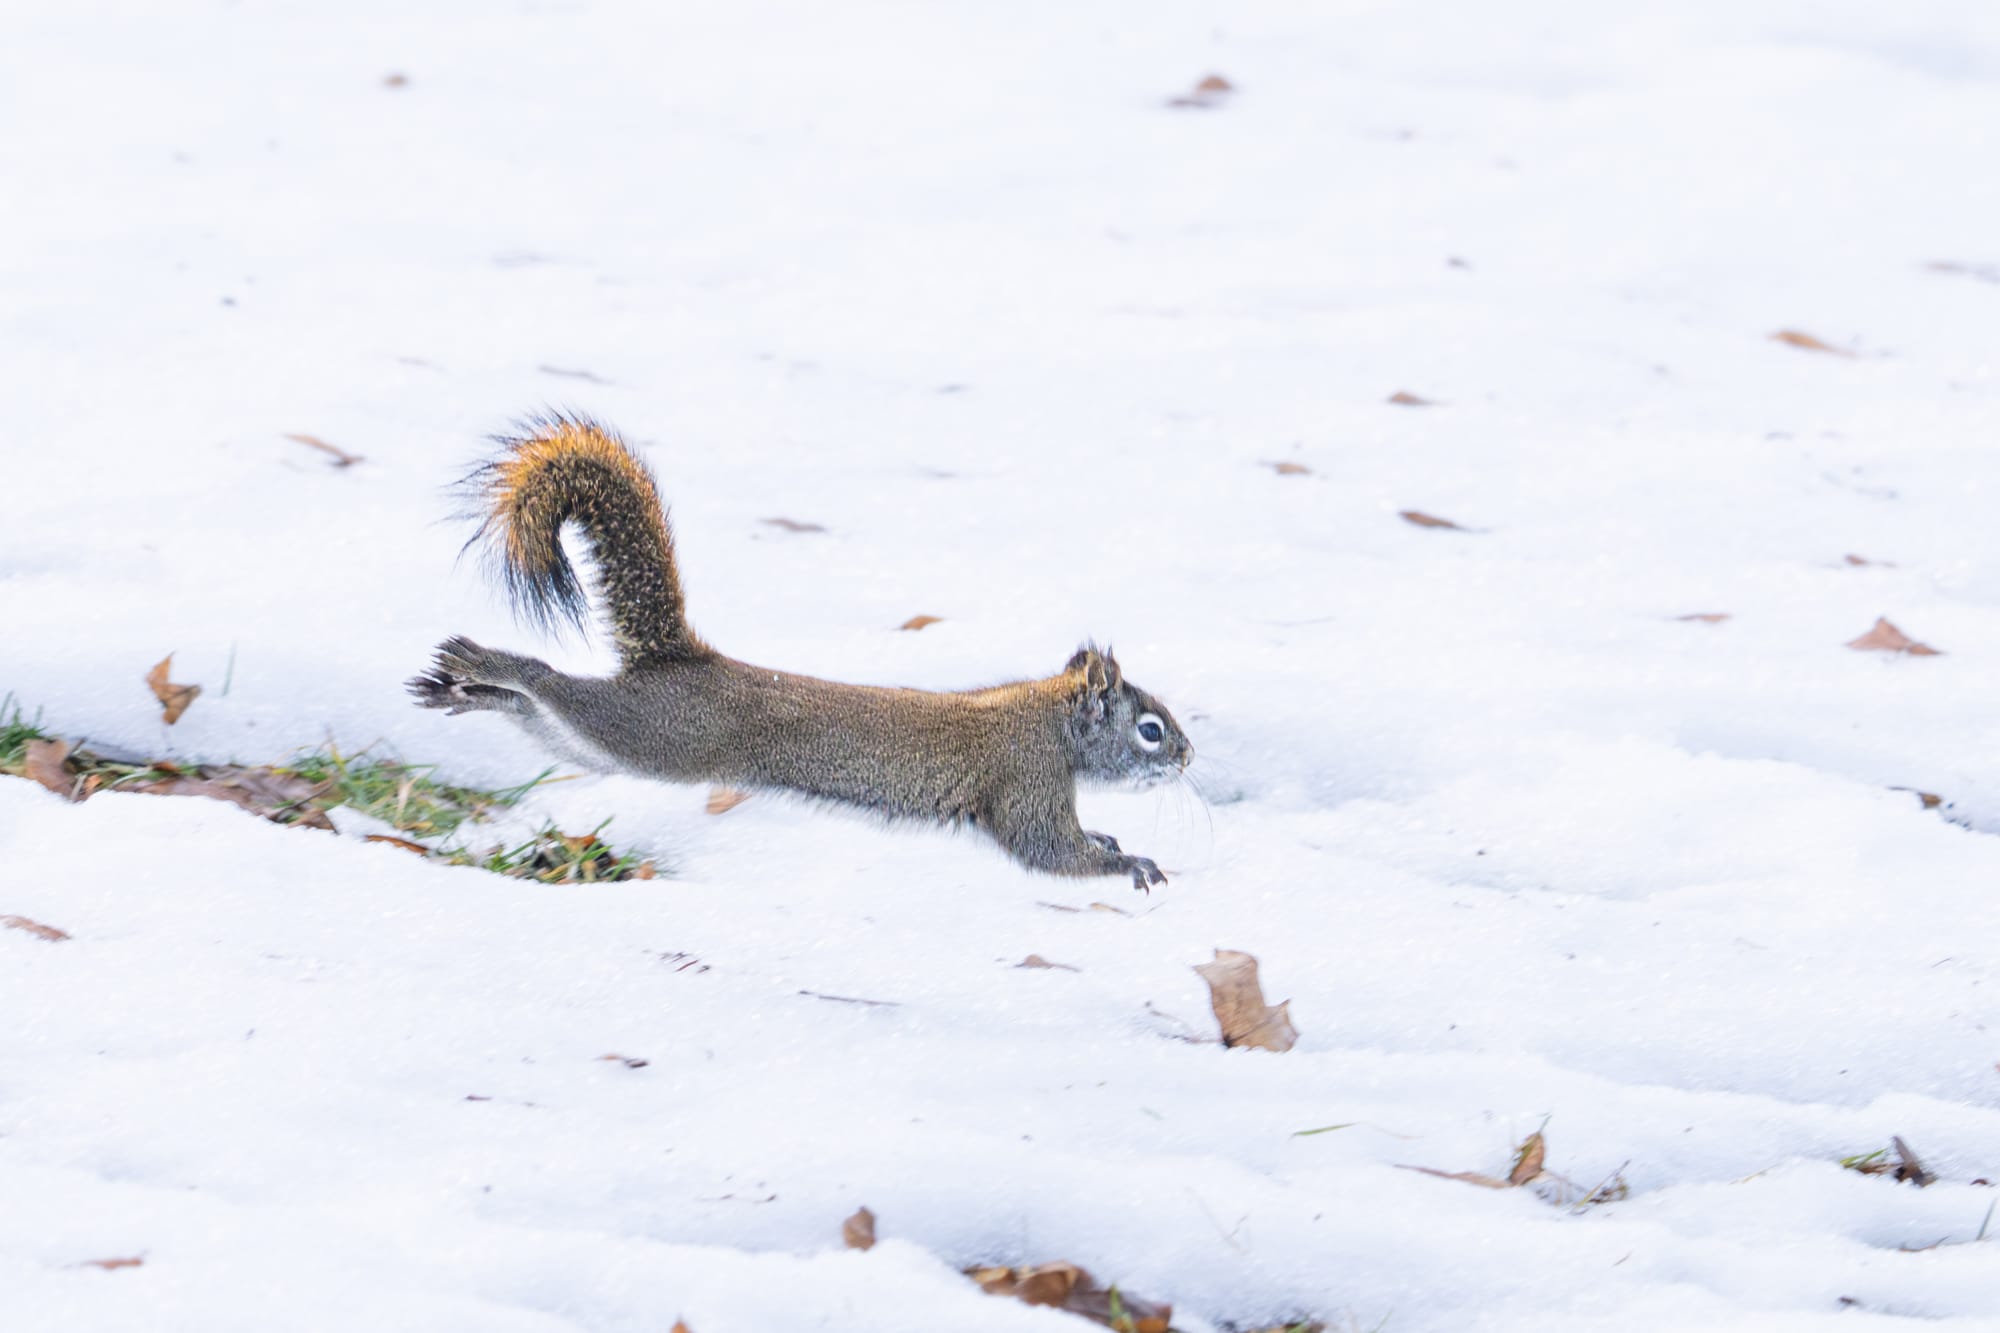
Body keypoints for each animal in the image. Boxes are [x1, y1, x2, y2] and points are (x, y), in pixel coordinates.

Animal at [407, 413, 1193, 890]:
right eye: (1151, 729)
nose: (1188, 758)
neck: (1049, 722)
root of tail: (680, 660)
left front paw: (1112, 842)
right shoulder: (1026, 780)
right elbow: (1049, 852)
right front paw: (1129, 863)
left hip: (615, 747)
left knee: (546, 721)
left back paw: (462, 689)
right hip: (658, 733)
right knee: (554, 688)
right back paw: (481, 662)